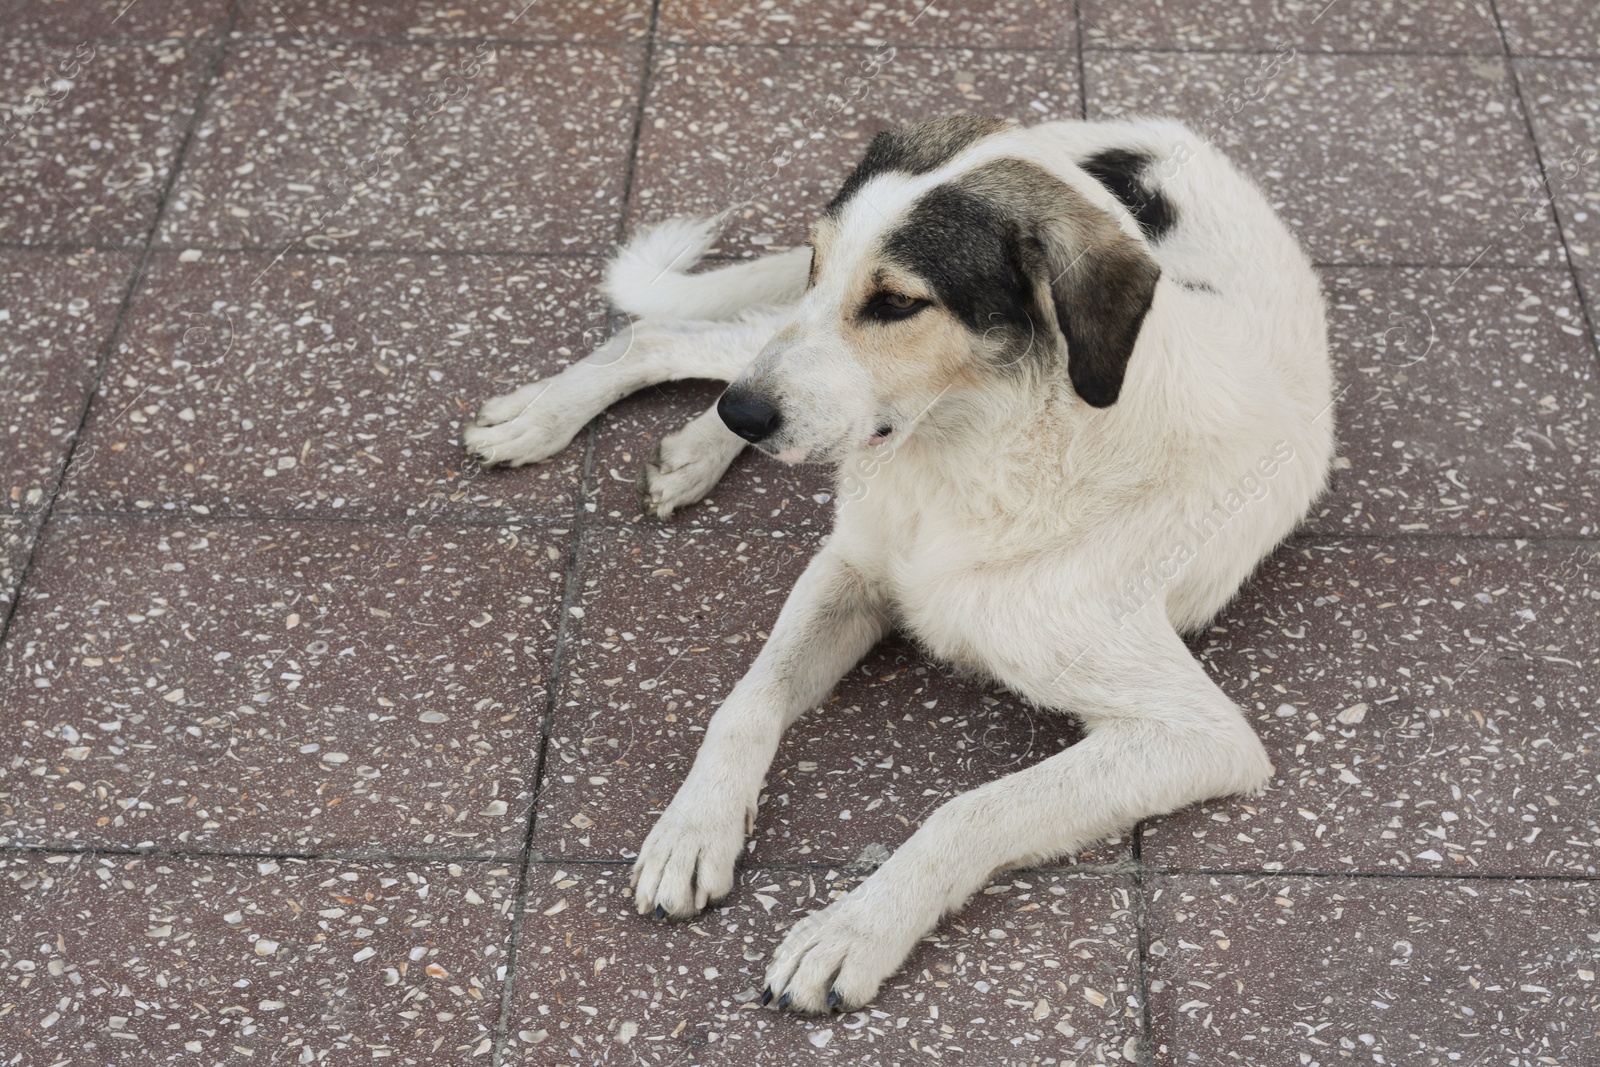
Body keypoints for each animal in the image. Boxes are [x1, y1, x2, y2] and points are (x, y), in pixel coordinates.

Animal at [464, 116, 1337, 1017]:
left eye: (896, 303)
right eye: (819, 260)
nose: (747, 413)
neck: (969, 457)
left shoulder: (1195, 735)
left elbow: (972, 809)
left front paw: (854, 929)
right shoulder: (850, 566)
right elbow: (747, 701)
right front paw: (693, 826)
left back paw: (692, 444)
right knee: (674, 337)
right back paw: (562, 418)